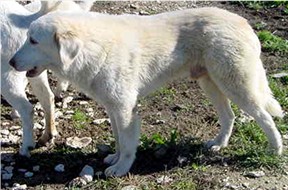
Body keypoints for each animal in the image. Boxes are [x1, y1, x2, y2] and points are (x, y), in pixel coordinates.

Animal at [1, 0, 95, 157]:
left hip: (7, 74)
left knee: (27, 108)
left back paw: (26, 147)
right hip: (34, 66)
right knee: (47, 96)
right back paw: (47, 136)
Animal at [9, 7, 284, 177]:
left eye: (33, 41)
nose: (10, 62)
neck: (91, 48)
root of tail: (245, 23)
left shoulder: (125, 108)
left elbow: (128, 143)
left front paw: (121, 169)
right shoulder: (113, 107)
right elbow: (118, 139)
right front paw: (115, 159)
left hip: (235, 85)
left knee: (264, 116)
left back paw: (275, 149)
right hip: (211, 83)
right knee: (229, 116)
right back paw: (218, 144)